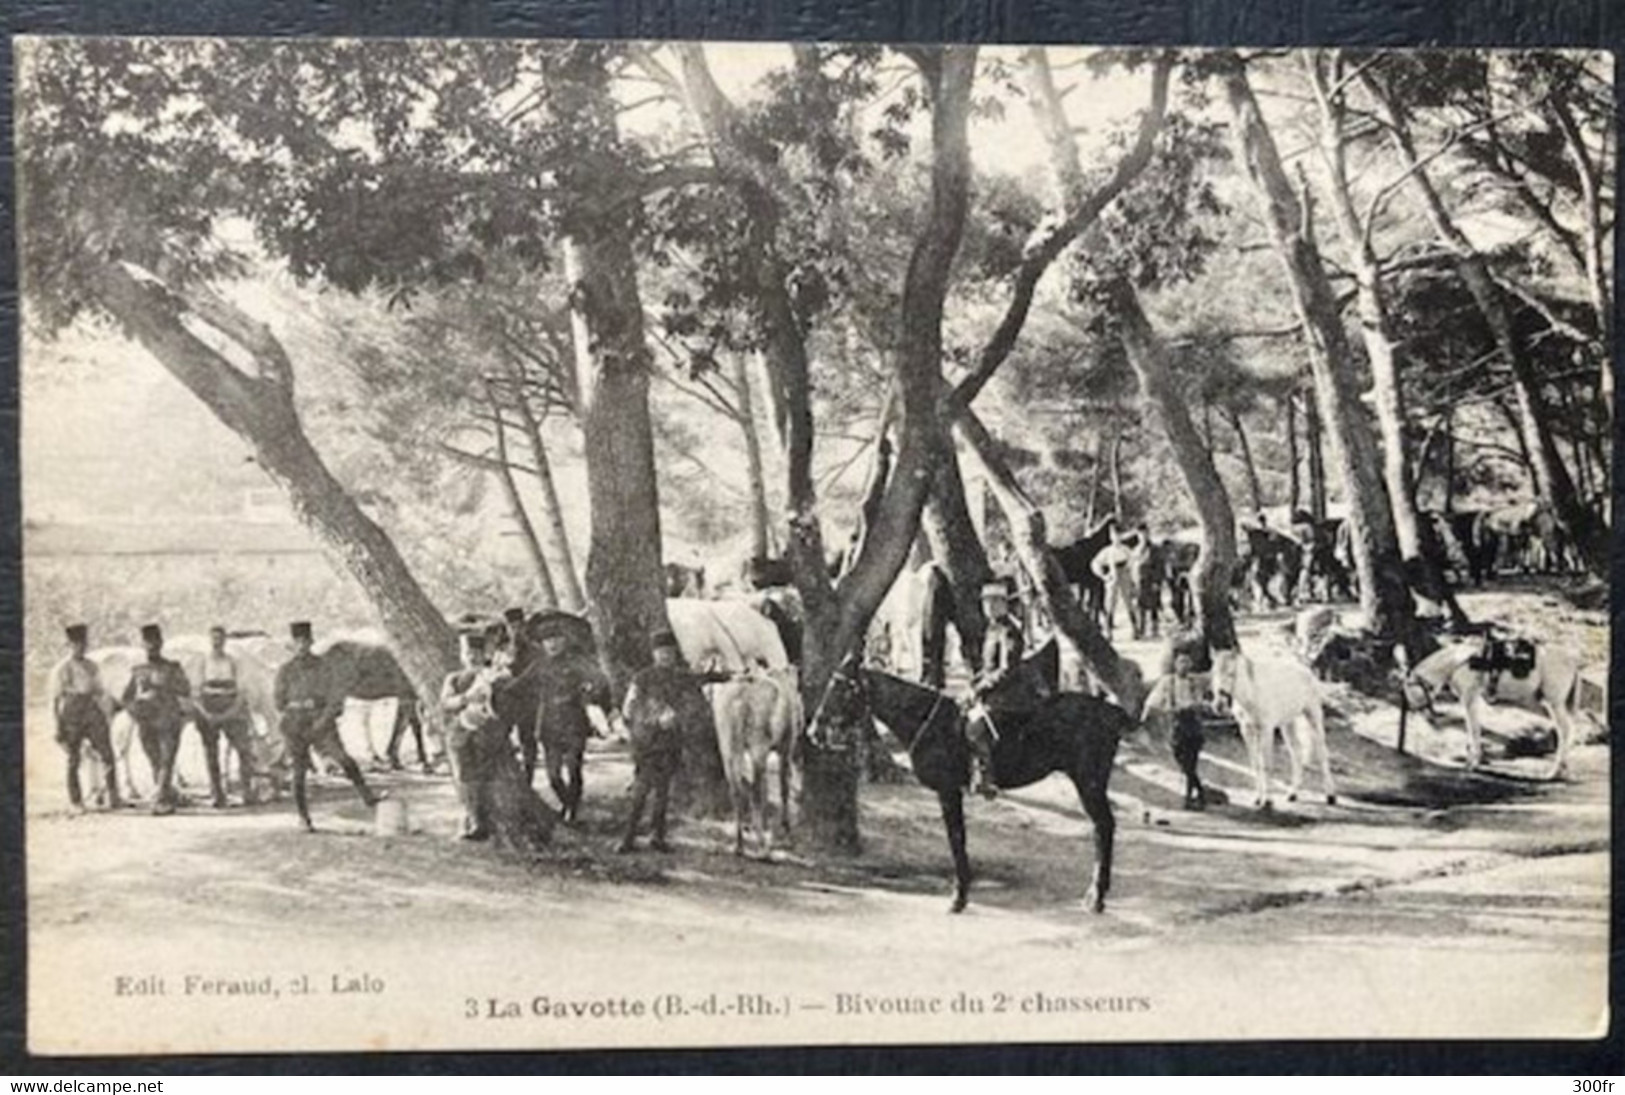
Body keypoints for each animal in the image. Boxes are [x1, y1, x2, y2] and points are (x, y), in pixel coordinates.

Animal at [825, 656, 1131, 909]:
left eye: (840, 687)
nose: (817, 726)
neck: (930, 722)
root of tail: (1114, 712)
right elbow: (958, 838)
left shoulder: (948, 791)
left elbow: (956, 838)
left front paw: (959, 896)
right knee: (1101, 827)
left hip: (1089, 782)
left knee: (1103, 826)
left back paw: (1096, 896)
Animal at [1209, 643, 1332, 805]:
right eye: (1213, 673)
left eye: (1231, 673)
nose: (1219, 705)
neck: (1252, 694)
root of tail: (1306, 670)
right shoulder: (1247, 730)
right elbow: (1255, 764)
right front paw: (1257, 798)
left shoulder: (1266, 730)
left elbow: (1265, 764)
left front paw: (1267, 801)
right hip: (1288, 724)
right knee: (1297, 753)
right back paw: (1292, 794)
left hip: (1313, 716)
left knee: (1322, 752)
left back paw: (1330, 796)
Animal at [1404, 630, 1579, 776]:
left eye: (1409, 691)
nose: (1425, 715)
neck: (1459, 661)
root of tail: (1572, 660)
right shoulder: (1474, 699)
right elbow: (1475, 727)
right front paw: (1474, 760)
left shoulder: (1469, 697)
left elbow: (1473, 728)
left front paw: (1473, 764)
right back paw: (1562, 768)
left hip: (1555, 703)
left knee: (1564, 731)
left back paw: (1555, 771)